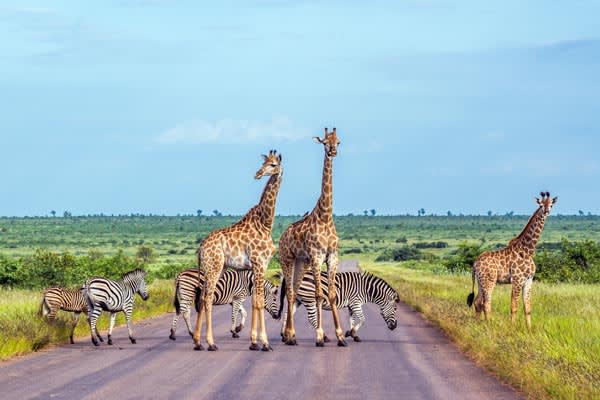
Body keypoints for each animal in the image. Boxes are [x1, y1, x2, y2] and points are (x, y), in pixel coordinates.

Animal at [193, 149, 284, 350]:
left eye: (273, 164)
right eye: (265, 163)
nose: (258, 174)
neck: (266, 223)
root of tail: (201, 248)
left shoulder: (259, 266)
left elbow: (256, 301)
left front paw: (254, 341)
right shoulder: (260, 263)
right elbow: (259, 301)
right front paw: (264, 342)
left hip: (214, 268)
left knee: (202, 297)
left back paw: (197, 341)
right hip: (214, 267)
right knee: (207, 298)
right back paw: (211, 343)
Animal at [278, 128, 346, 346]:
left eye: (338, 142)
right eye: (325, 142)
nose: (332, 151)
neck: (325, 216)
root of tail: (282, 236)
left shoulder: (332, 256)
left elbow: (331, 295)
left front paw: (341, 336)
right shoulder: (317, 256)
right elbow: (318, 295)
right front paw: (319, 336)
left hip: (302, 262)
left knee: (294, 290)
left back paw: (290, 335)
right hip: (287, 259)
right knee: (290, 293)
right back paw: (290, 335)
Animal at [464, 192, 556, 326]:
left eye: (551, 204)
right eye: (540, 204)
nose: (546, 211)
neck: (528, 251)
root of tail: (475, 264)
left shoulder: (528, 280)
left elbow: (527, 308)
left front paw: (529, 328)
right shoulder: (517, 280)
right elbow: (514, 306)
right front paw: (512, 327)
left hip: (481, 282)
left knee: (478, 302)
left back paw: (478, 323)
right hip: (489, 281)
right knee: (486, 303)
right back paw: (489, 324)